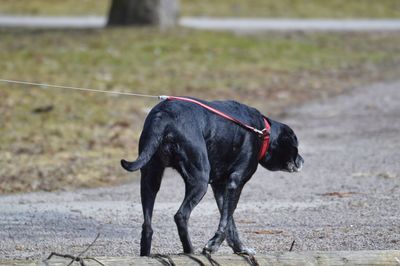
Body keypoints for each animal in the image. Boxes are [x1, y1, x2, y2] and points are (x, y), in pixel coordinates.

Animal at [122, 97, 304, 256]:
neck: (262, 132)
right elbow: (226, 220)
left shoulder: (220, 187)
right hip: (199, 180)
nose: (302, 161)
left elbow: (230, 223)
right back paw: (189, 250)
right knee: (181, 215)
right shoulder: (235, 182)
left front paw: (240, 248)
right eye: (295, 145)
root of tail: (163, 117)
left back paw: (145, 254)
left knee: (147, 225)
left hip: (150, 179)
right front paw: (213, 245)